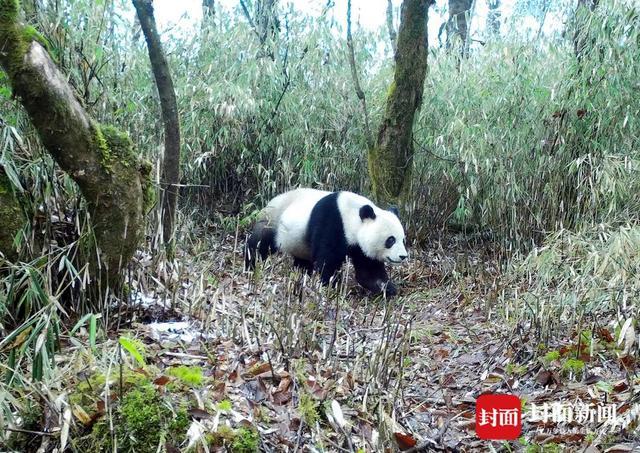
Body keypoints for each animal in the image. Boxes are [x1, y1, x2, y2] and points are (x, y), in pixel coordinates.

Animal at [245, 186, 410, 294]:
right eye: (390, 240)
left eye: (403, 240)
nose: (403, 256)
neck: (352, 215)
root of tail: (270, 202)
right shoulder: (332, 223)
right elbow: (327, 259)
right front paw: (330, 285)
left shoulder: (360, 246)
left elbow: (368, 270)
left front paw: (387, 288)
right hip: (273, 221)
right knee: (260, 244)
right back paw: (250, 265)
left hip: (298, 241)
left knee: (302, 261)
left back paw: (302, 275)